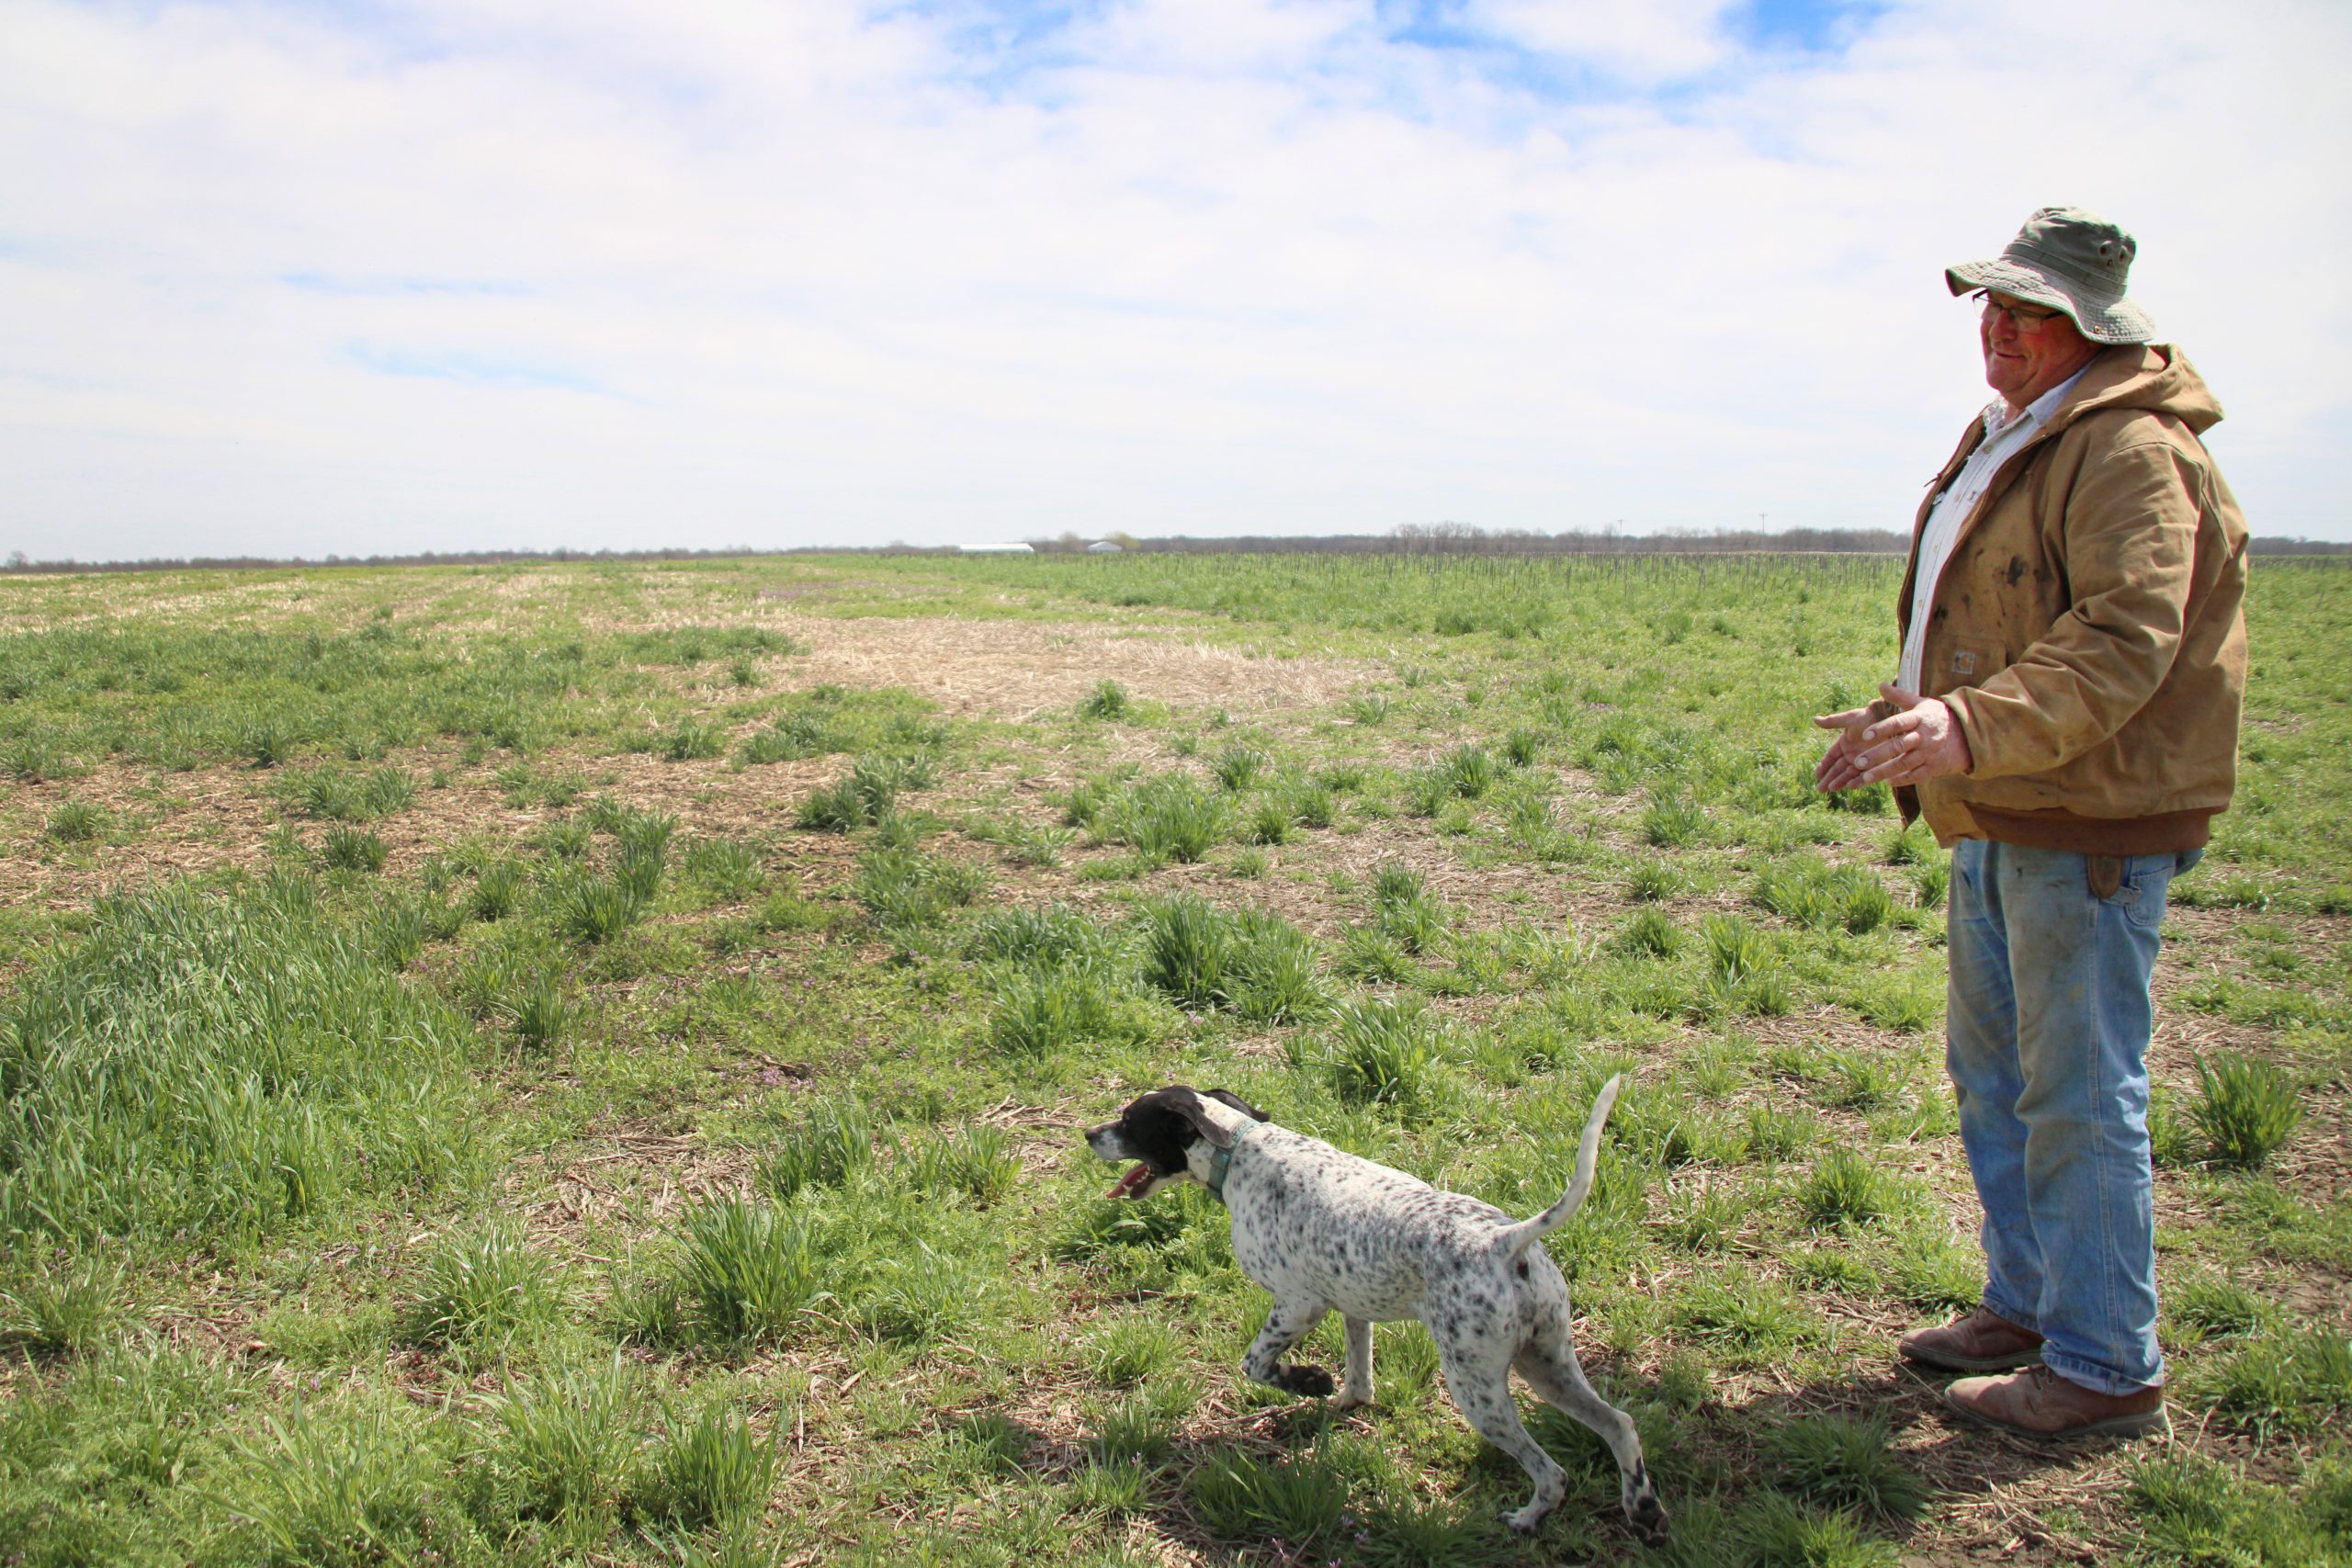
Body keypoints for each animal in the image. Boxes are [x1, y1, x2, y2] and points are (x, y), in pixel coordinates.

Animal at [1081, 1081, 1674, 1541]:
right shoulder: (1352, 1307)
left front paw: (1309, 1382)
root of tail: (1505, 1243)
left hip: (1478, 1389)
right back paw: (1643, 1510)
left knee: (1552, 1474)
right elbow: (1360, 1378)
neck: (1243, 1150)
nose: (1088, 1134)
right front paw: (1340, 1401)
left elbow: (1257, 1366)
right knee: (1621, 1426)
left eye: (1130, 1121)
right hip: (1549, 1367)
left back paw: (1527, 1521)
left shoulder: (1299, 1304)